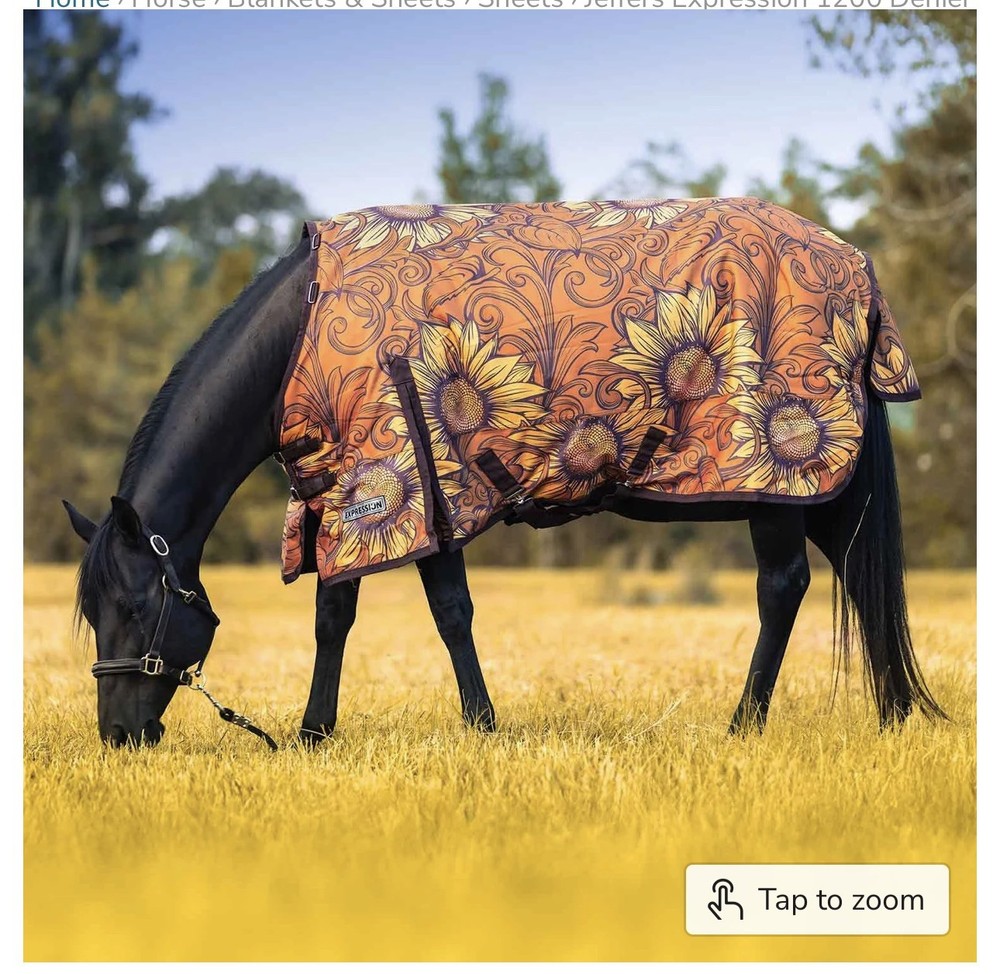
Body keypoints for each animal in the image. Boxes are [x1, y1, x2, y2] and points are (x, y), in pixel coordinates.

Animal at [63, 197, 946, 748]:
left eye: (136, 608)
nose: (120, 736)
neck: (304, 330)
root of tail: (854, 266)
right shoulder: (365, 490)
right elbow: (344, 613)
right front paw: (319, 733)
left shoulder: (411, 479)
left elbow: (439, 612)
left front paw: (475, 726)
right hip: (820, 492)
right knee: (859, 578)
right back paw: (894, 715)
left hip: (775, 478)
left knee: (782, 588)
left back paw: (745, 724)